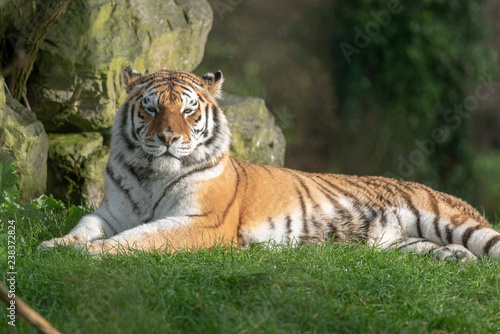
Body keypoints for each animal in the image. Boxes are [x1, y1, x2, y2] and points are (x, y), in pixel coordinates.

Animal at [40, 66, 500, 262]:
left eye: (188, 111)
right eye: (151, 109)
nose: (168, 138)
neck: (151, 173)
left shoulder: (201, 222)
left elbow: (140, 238)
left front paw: (93, 254)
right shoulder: (110, 212)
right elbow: (84, 226)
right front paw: (57, 245)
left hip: (452, 220)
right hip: (398, 243)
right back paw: (455, 259)